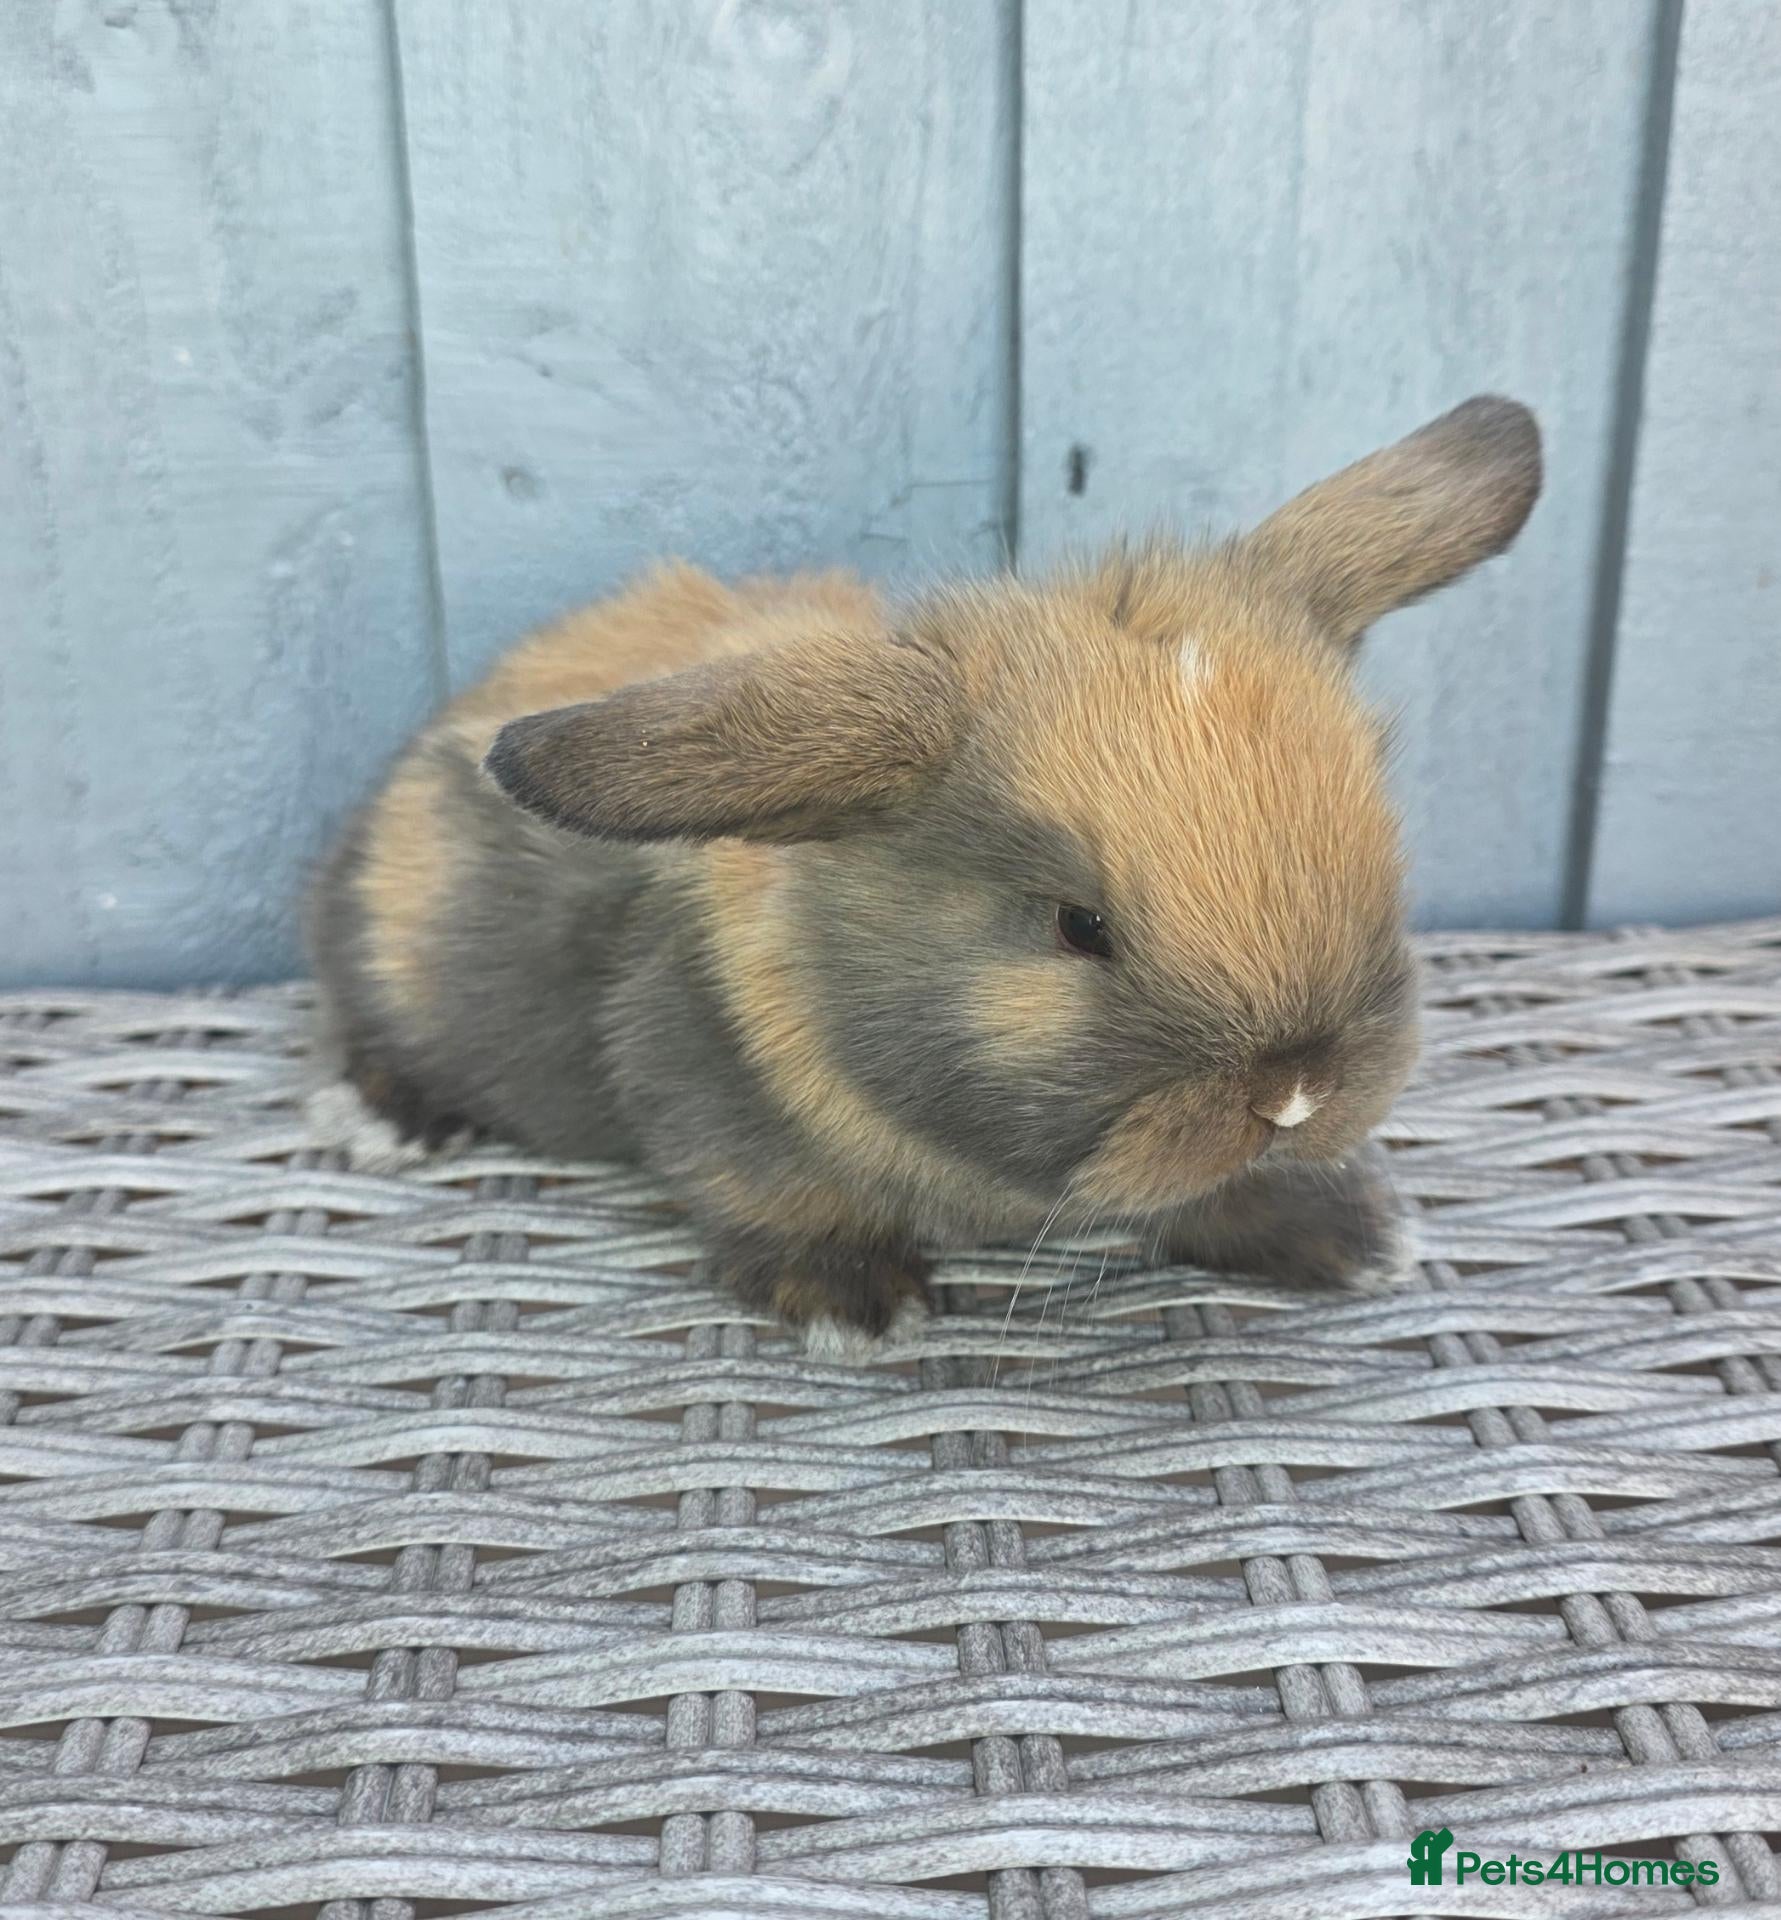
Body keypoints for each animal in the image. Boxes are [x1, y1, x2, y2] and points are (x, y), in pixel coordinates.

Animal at [307, 395, 1540, 1358]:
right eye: (1078, 925)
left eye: (1381, 861)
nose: (1293, 1094)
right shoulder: (693, 1065)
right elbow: (767, 1188)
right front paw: (851, 1302)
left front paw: (1353, 1234)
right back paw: (393, 1119)